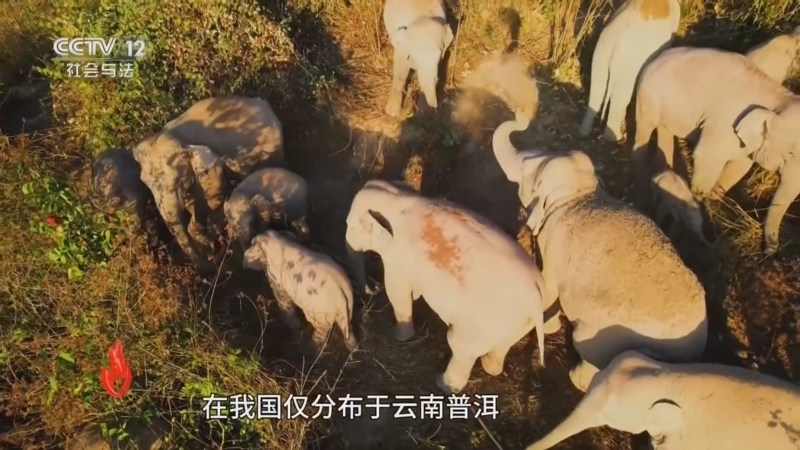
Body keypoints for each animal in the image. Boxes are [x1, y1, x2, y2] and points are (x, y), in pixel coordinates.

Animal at [132, 96, 284, 271]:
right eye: (145, 182)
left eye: (179, 180)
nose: (206, 267)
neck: (175, 136)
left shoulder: (211, 170)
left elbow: (211, 201)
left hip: (271, 152)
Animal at [345, 179, 546, 394]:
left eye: (351, 227)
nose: (372, 288)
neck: (398, 196)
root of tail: (535, 294)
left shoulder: (399, 257)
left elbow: (397, 292)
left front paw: (399, 337)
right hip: (519, 323)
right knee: (501, 346)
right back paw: (490, 369)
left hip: (481, 326)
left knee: (460, 346)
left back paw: (443, 385)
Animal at [491, 119, 708, 391]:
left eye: (526, 171)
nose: (522, 123)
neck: (579, 193)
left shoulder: (554, 242)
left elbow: (547, 289)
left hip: (604, 337)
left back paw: (576, 377)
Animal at [578, 0, 680, 142]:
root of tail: (615, 47)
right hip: (628, 65)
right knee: (620, 98)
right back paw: (616, 138)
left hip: (601, 53)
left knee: (597, 89)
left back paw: (584, 131)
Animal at [632, 46, 800, 256]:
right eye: (791, 153)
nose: (770, 252)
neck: (779, 96)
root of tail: (658, 56)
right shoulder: (724, 124)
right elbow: (707, 159)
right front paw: (700, 205)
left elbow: (739, 166)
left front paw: (713, 205)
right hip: (648, 96)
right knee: (645, 129)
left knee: (665, 130)